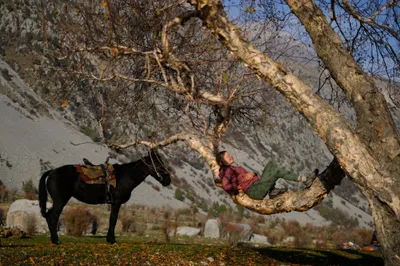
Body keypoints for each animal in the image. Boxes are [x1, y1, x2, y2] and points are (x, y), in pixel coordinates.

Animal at [39, 149, 172, 244]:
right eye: (157, 163)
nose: (168, 180)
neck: (126, 175)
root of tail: (52, 172)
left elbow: (112, 220)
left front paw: (109, 239)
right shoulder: (116, 202)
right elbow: (113, 220)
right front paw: (112, 240)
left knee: (49, 216)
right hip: (60, 201)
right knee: (53, 217)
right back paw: (56, 241)